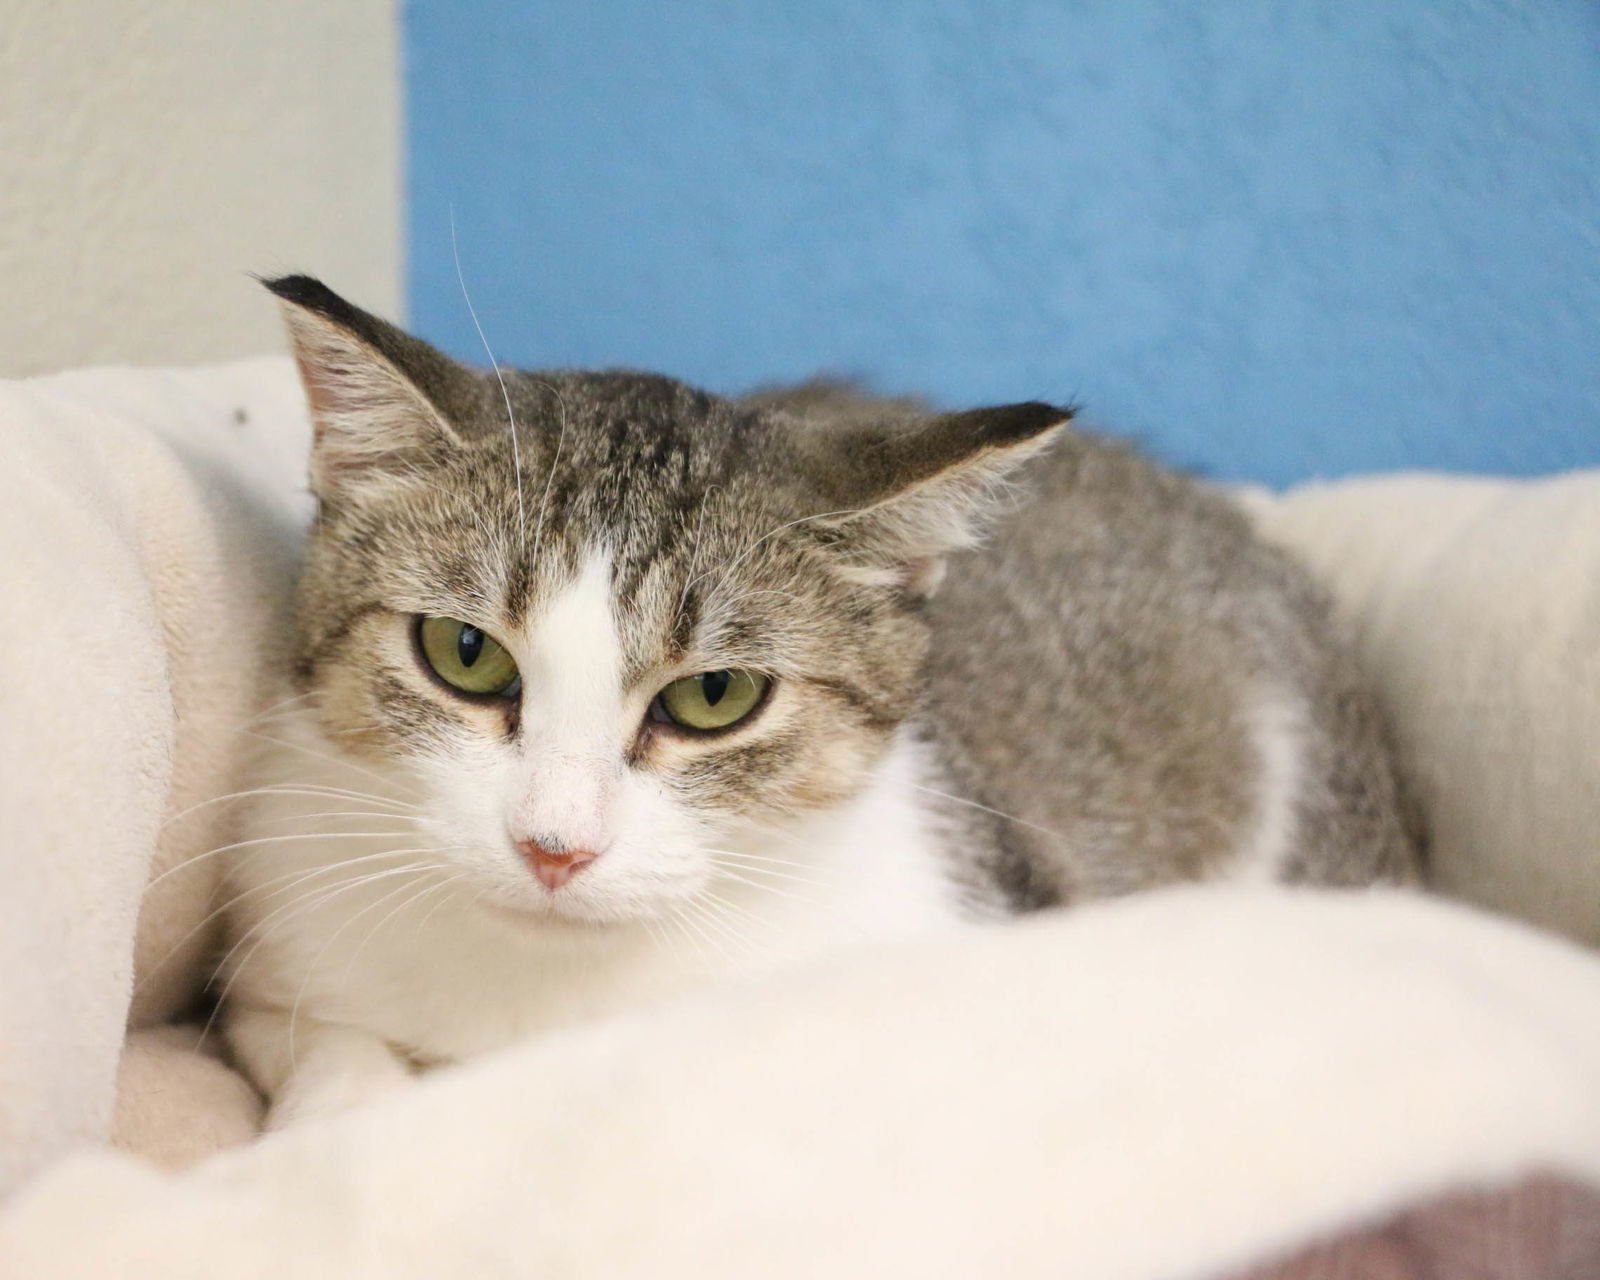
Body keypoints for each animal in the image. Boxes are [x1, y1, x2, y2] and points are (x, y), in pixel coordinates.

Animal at [219, 275, 1420, 1126]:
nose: (554, 846)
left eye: (714, 694)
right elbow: (323, 1043)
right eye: (464, 652)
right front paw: (345, 1110)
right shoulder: (276, 952)